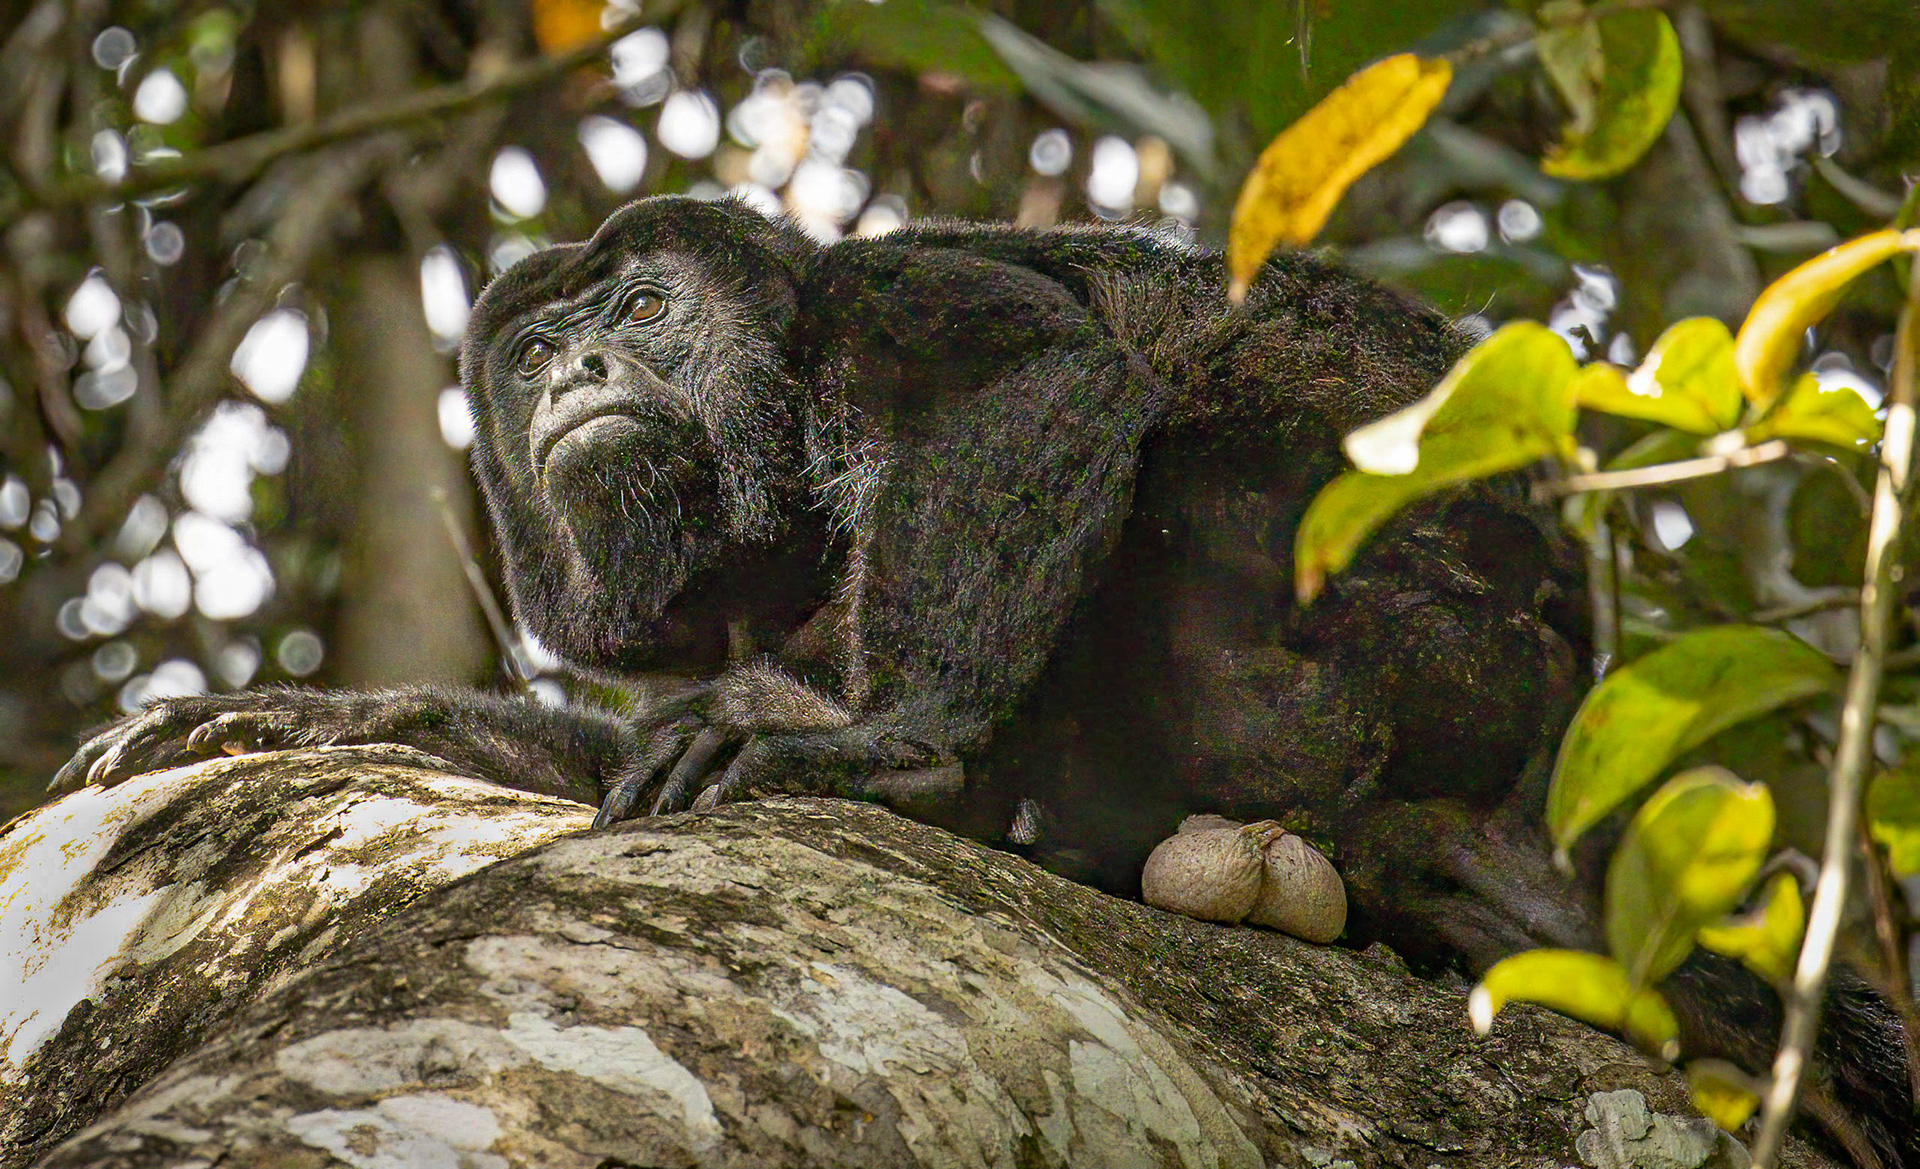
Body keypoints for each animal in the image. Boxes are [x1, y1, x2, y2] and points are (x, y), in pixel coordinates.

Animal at [54, 196, 1915, 1165]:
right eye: (529, 358)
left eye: (642, 311)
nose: (576, 370)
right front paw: (308, 714)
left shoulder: (873, 295)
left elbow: (1036, 372)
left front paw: (902, 745)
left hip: (1411, 635)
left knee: (1179, 454)